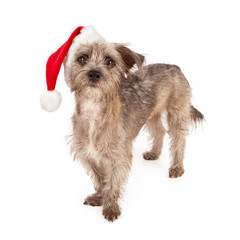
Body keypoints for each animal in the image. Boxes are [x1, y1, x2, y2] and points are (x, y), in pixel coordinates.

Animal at [65, 40, 204, 221]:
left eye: (110, 61)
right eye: (82, 58)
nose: (94, 73)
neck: (93, 110)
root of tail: (175, 67)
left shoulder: (118, 157)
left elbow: (112, 182)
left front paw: (110, 207)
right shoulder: (87, 155)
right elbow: (99, 178)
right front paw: (100, 197)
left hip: (177, 114)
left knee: (179, 140)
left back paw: (177, 167)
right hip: (151, 115)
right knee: (159, 131)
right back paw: (154, 153)